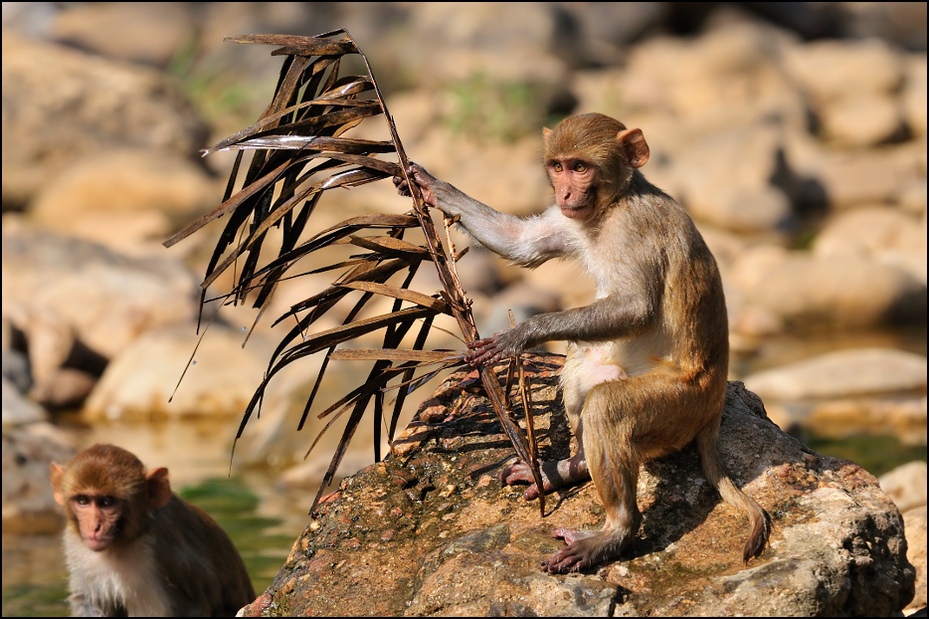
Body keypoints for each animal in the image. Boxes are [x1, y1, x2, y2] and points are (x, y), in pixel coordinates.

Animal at [49, 444, 256, 616]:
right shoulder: (76, 546)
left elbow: (193, 606)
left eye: (107, 502)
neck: (125, 542)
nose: (94, 527)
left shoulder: (165, 549)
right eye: (82, 500)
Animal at [396, 112, 772, 576]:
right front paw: (426, 182)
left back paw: (614, 532)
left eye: (580, 167)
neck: (611, 206)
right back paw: (570, 468)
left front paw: (521, 334)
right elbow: (519, 243)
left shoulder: (634, 230)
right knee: (580, 367)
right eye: (557, 167)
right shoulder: (571, 219)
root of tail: (715, 404)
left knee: (607, 408)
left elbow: (637, 308)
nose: (565, 191)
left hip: (681, 406)